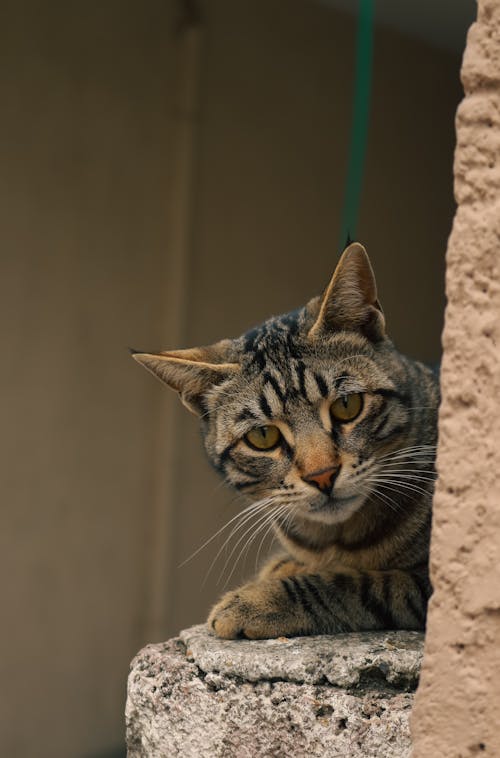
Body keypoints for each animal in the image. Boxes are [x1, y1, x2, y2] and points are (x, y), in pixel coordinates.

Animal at [132, 245, 438, 640]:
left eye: (346, 406)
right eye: (263, 436)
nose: (323, 475)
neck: (335, 540)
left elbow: (358, 584)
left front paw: (259, 599)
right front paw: (283, 567)